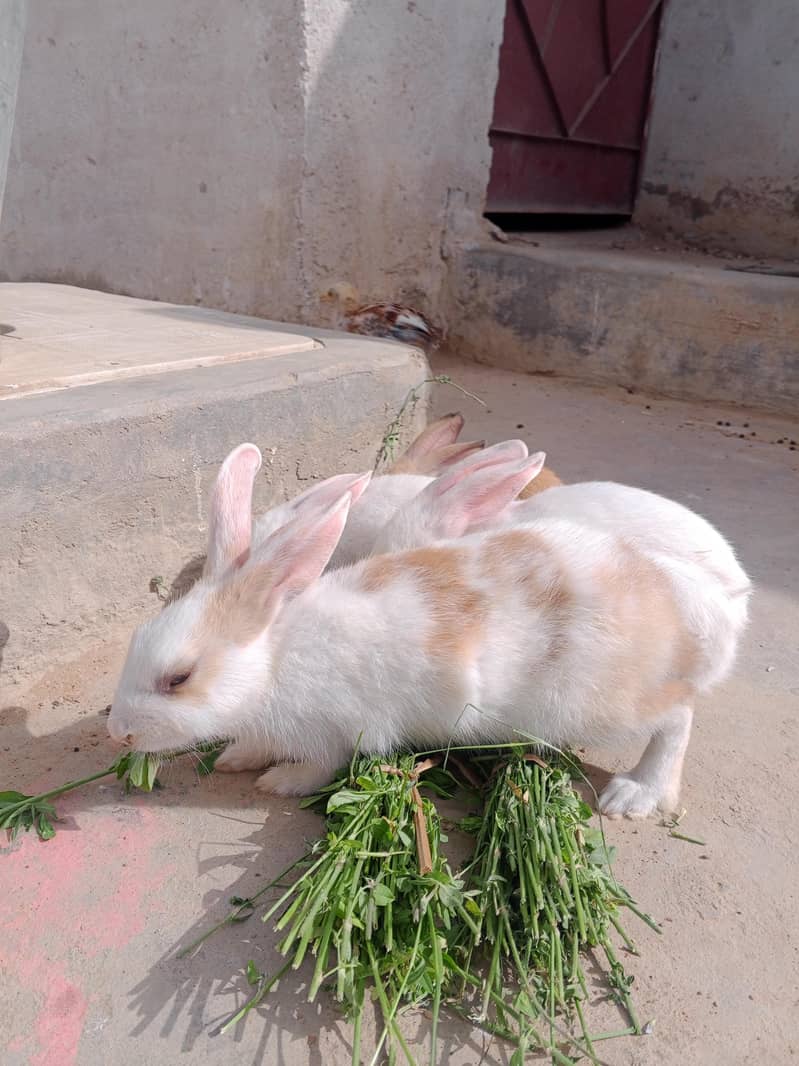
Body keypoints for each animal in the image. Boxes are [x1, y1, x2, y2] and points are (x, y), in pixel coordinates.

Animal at [108, 441, 749, 819]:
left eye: (178, 679)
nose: (119, 734)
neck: (272, 664)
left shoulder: (339, 732)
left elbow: (320, 767)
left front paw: (276, 784)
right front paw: (236, 758)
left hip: (601, 705)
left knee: (677, 718)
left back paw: (634, 795)